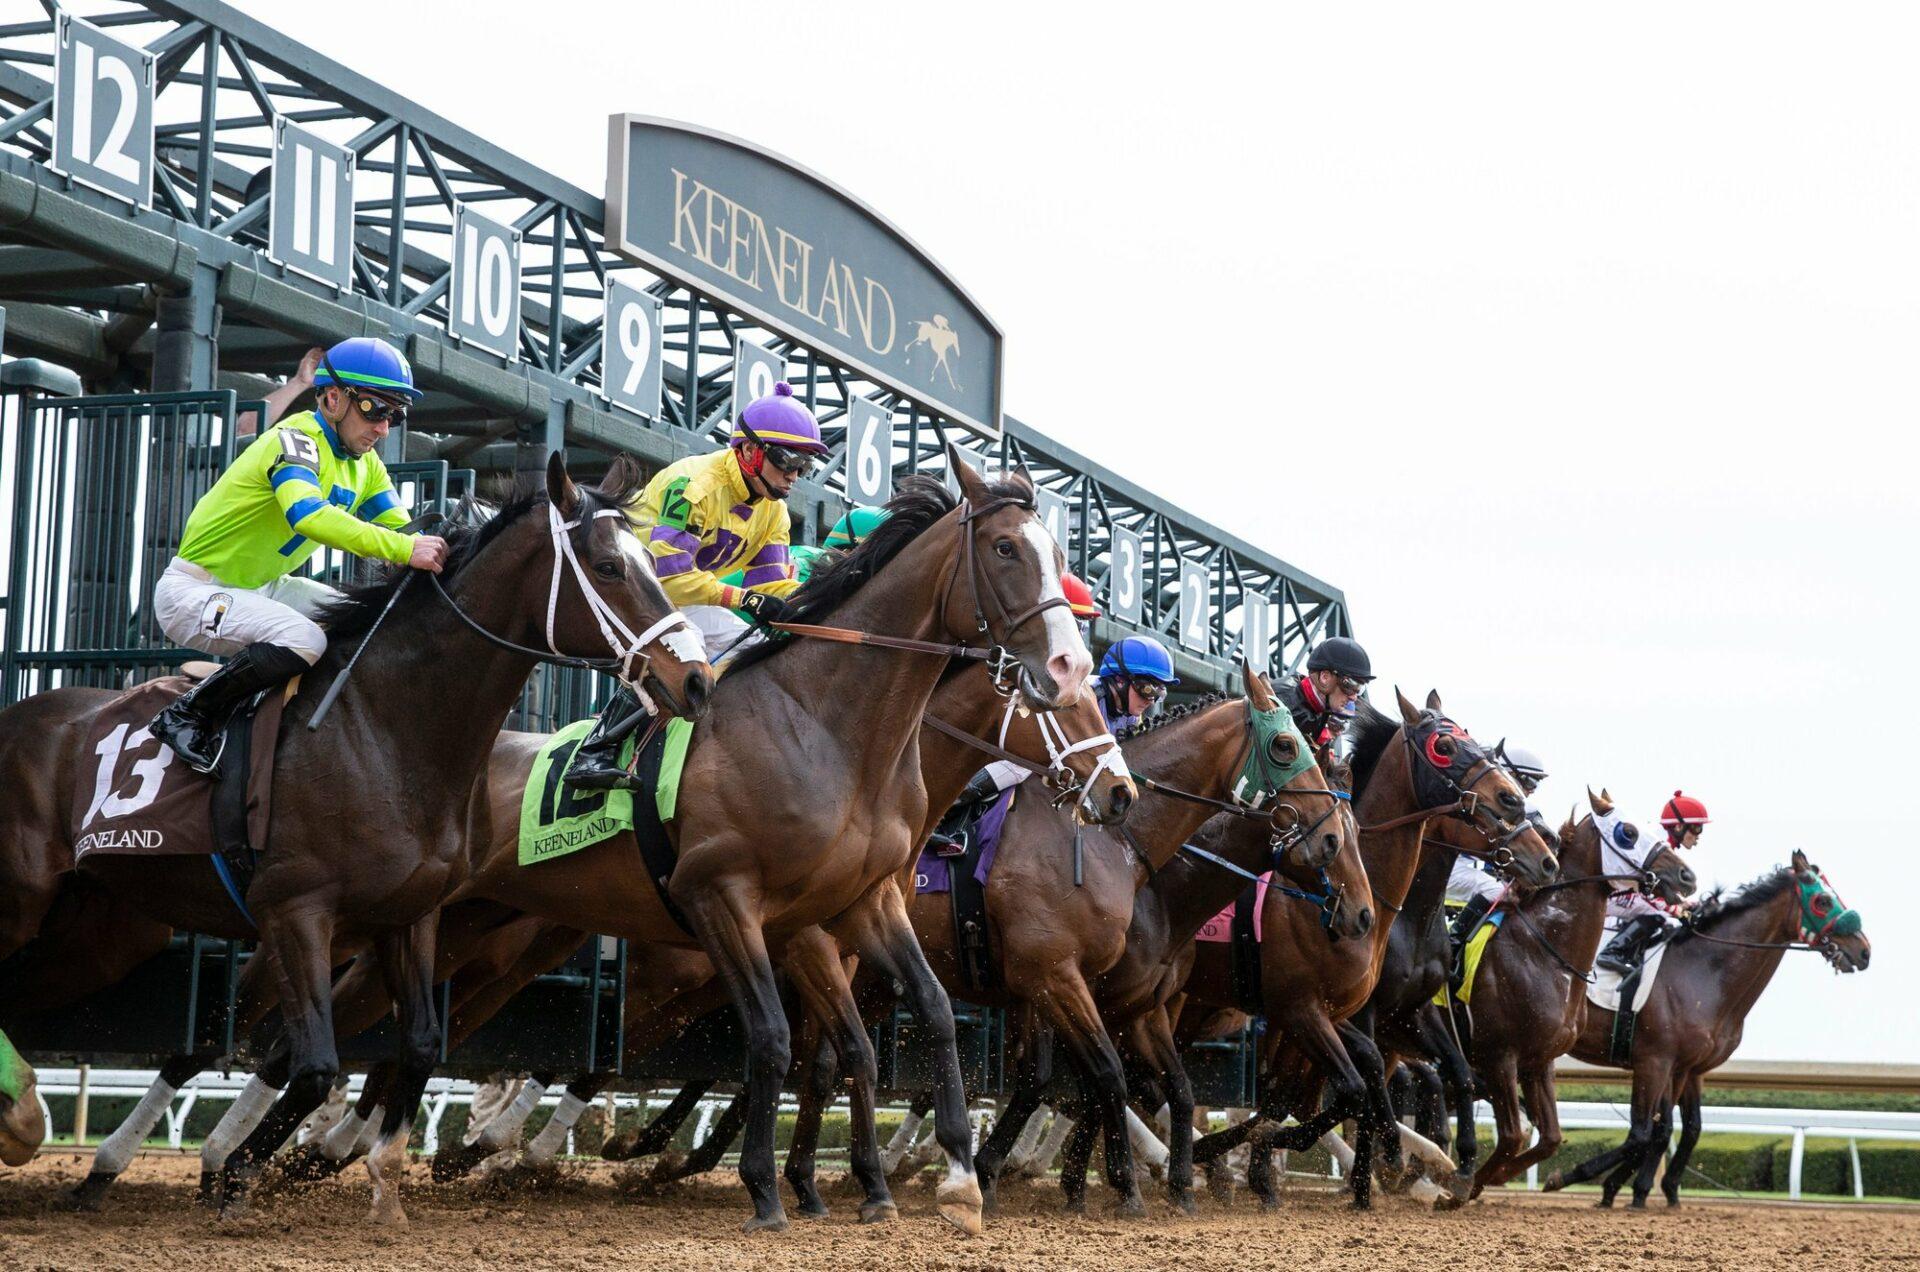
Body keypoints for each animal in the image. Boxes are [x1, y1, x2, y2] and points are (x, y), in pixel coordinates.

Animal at [0, 455, 714, 1214]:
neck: (385, 727)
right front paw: (240, 1173)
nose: (696, 680)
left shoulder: (411, 914)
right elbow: (315, 1064)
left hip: (99, 929)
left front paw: (376, 1183)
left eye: (653, 565)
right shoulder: (294, 911)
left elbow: (419, 1047)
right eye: (609, 567)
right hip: (25, 896)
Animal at [441, 466, 1090, 1237]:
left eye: (1056, 551)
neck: (827, 725)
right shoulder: (723, 897)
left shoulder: (861, 903)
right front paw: (766, 1188)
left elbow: (925, 1012)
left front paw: (957, 1179)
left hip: (504, 940)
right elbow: (773, 1040)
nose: (1069, 665)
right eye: (1004, 548)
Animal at [1443, 791, 1697, 1214]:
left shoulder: (1538, 1061)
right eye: (1628, 832)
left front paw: (1493, 1179)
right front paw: (1458, 1186)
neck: (1544, 950)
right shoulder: (1498, 1056)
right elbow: (1513, 1136)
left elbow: (1549, 1139)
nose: (1687, 876)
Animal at [1543, 853, 1873, 1214]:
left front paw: (1654, 1189)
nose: (1864, 951)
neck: (1701, 972)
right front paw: (1573, 1177)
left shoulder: (1688, 1069)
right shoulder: (1654, 1062)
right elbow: (1642, 1133)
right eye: (1823, 901)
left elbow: (1680, 1129)